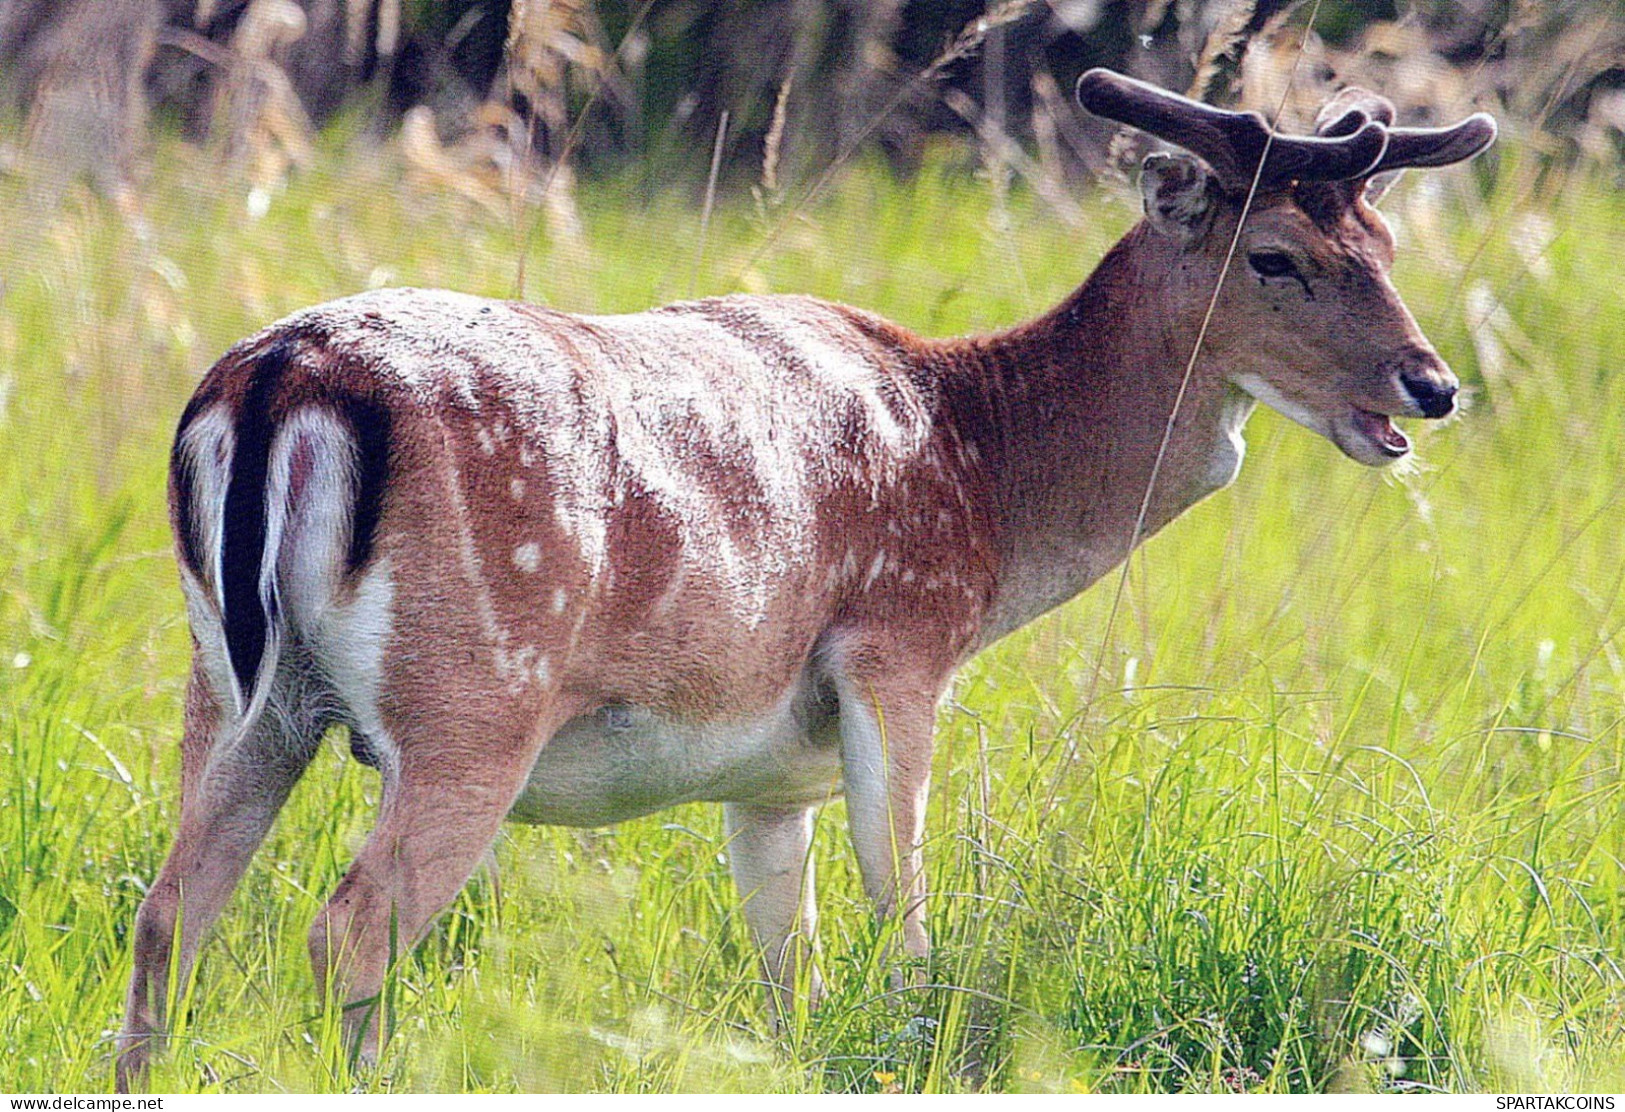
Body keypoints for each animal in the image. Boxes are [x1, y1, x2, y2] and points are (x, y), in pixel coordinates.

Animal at [117, 71, 1495, 1085]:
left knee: (169, 909)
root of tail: (282, 378)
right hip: (470, 697)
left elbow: (793, 973)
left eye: (1382, 238)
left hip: (234, 689)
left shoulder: (769, 775)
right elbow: (909, 919)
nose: (1429, 385)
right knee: (346, 928)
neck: (985, 480)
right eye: (1274, 255)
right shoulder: (897, 644)